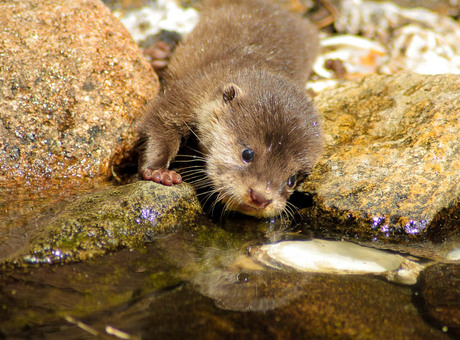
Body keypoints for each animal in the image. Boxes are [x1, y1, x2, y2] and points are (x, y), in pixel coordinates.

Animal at [138, 0, 322, 218]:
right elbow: (160, 122)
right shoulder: (188, 94)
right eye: (247, 154)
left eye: (292, 179)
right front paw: (158, 171)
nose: (260, 198)